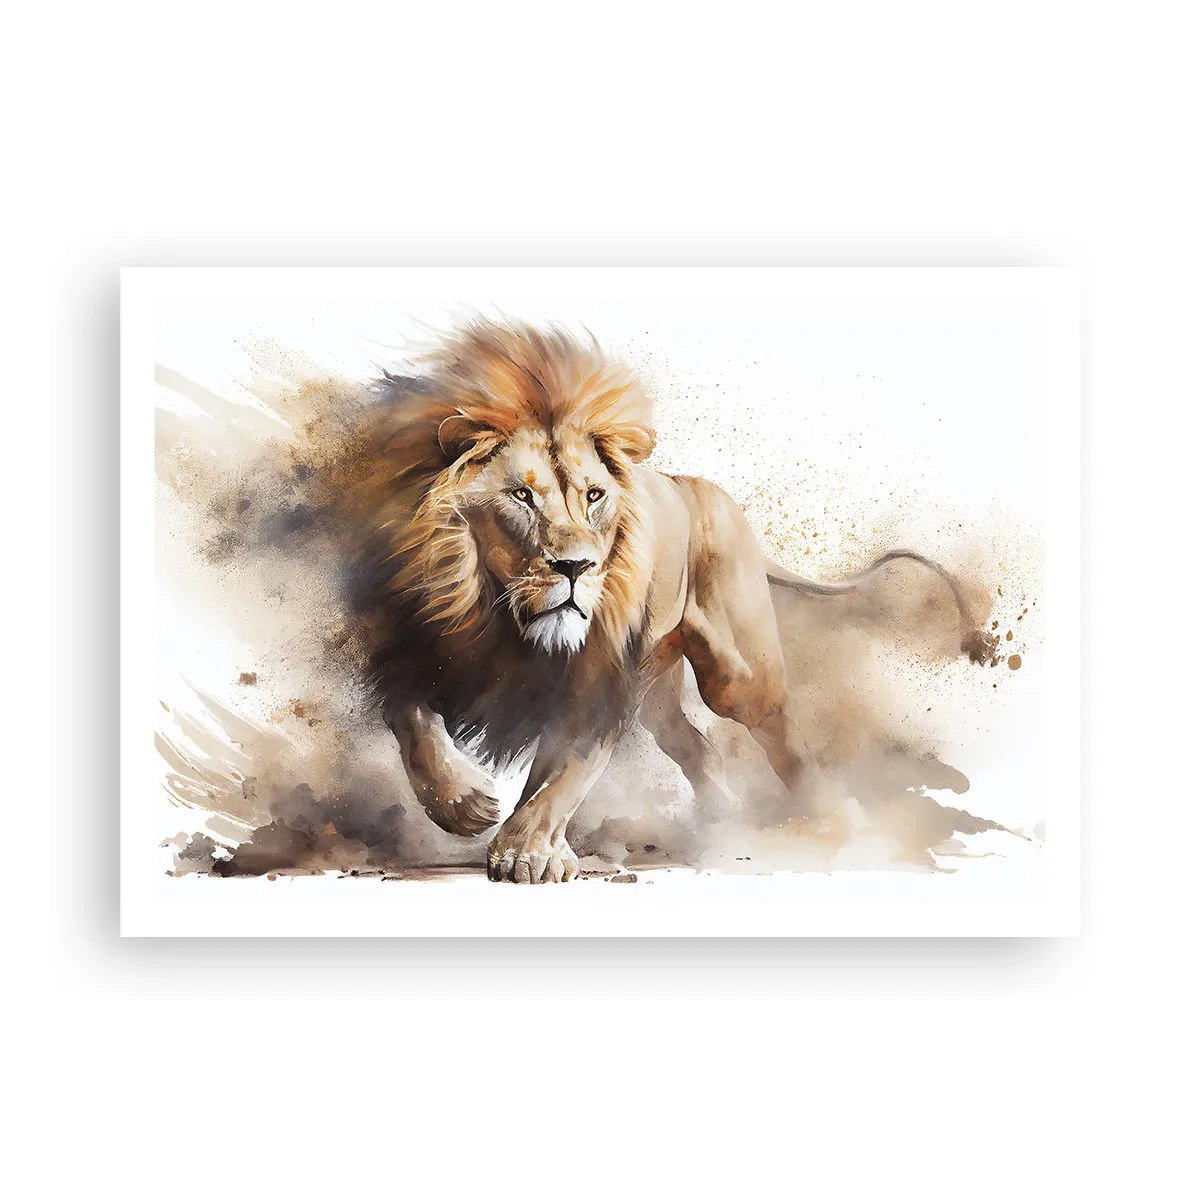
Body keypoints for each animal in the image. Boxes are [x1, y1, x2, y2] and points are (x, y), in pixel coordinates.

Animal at [338, 317, 992, 883]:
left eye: (594, 495)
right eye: (522, 496)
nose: (576, 567)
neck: (497, 614)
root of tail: (696, 487)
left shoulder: (597, 686)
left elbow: (562, 775)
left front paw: (530, 852)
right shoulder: (406, 647)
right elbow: (414, 726)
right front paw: (466, 805)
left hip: (737, 676)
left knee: (783, 732)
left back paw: (837, 821)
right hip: (655, 686)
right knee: (696, 746)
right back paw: (725, 819)